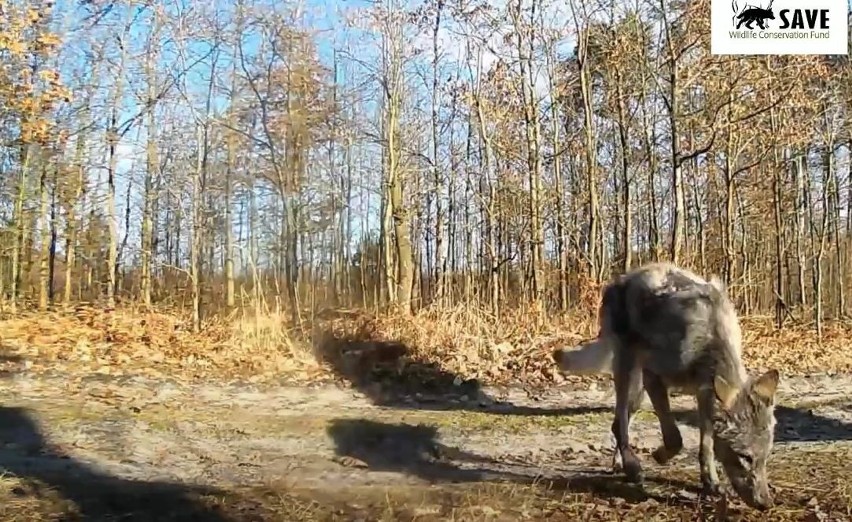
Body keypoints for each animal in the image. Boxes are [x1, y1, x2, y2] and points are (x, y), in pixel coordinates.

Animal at [552, 260, 780, 508]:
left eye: (765, 457)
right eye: (745, 457)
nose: (766, 504)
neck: (709, 341)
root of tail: (622, 277)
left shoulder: (703, 394)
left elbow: (706, 446)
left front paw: (710, 483)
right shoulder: (655, 377)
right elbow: (675, 438)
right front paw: (659, 456)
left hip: (638, 392)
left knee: (617, 424)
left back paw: (619, 464)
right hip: (628, 372)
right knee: (621, 423)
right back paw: (632, 467)